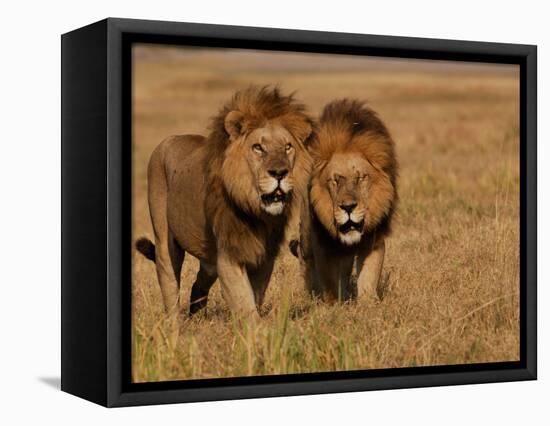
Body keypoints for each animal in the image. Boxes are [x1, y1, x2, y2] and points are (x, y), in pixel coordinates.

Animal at [137, 86, 314, 316]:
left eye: (287, 147)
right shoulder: (229, 256)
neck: (256, 211)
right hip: (165, 241)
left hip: (208, 258)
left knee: (198, 285)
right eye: (258, 147)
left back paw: (197, 317)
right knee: (170, 284)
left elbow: (255, 298)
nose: (279, 173)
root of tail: (170, 139)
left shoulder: (264, 256)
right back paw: (175, 322)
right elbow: (244, 303)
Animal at [296, 98, 398, 302]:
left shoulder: (374, 240)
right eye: (335, 180)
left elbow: (369, 277)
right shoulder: (323, 243)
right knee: (307, 263)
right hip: (305, 238)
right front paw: (333, 305)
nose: (348, 207)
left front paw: (367, 304)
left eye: (361, 178)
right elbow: (329, 281)